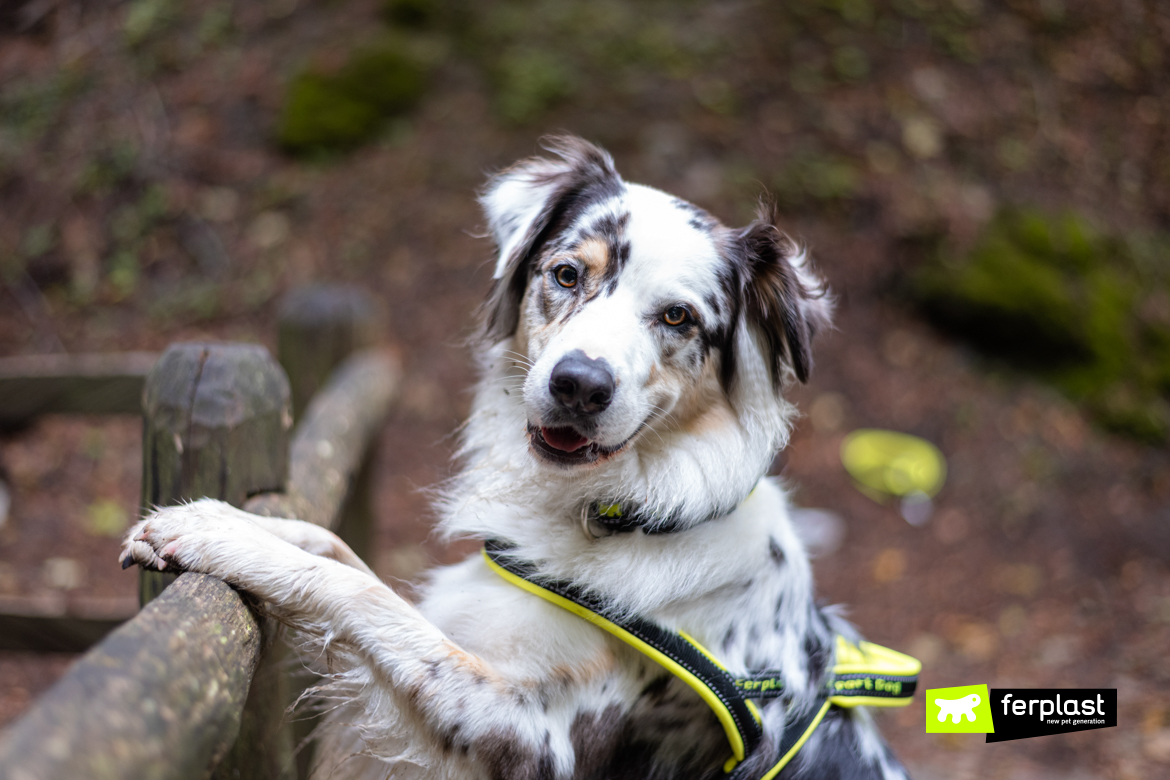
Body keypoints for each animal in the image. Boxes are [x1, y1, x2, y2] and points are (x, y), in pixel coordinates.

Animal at [125, 137, 912, 776]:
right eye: (566, 275)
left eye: (678, 317)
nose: (579, 385)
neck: (627, 513)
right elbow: (331, 544)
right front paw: (211, 519)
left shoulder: (534, 736)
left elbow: (362, 593)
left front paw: (214, 537)